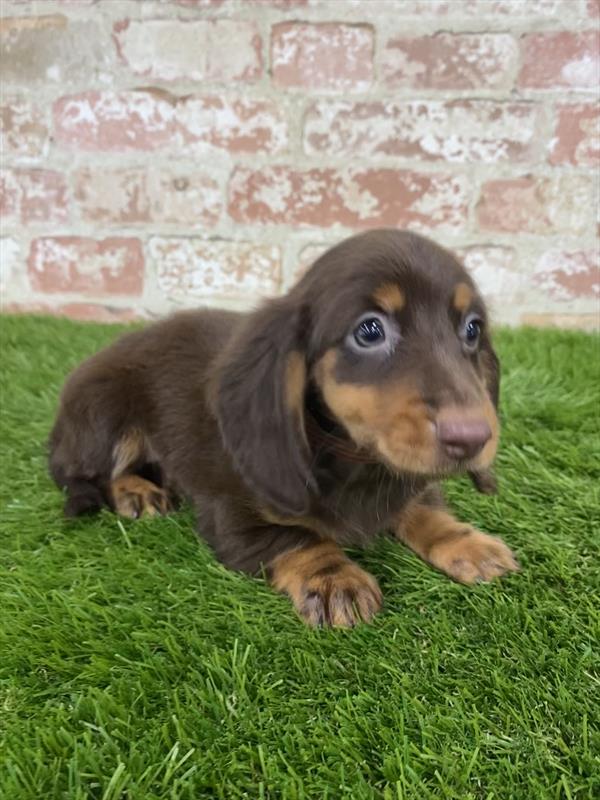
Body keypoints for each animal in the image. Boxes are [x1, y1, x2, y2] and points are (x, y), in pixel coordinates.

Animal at [49, 228, 516, 628]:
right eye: (369, 330)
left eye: (472, 329)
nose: (473, 438)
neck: (355, 459)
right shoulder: (232, 516)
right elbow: (297, 538)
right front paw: (335, 580)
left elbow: (423, 508)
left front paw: (469, 543)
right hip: (103, 413)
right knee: (92, 473)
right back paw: (136, 491)